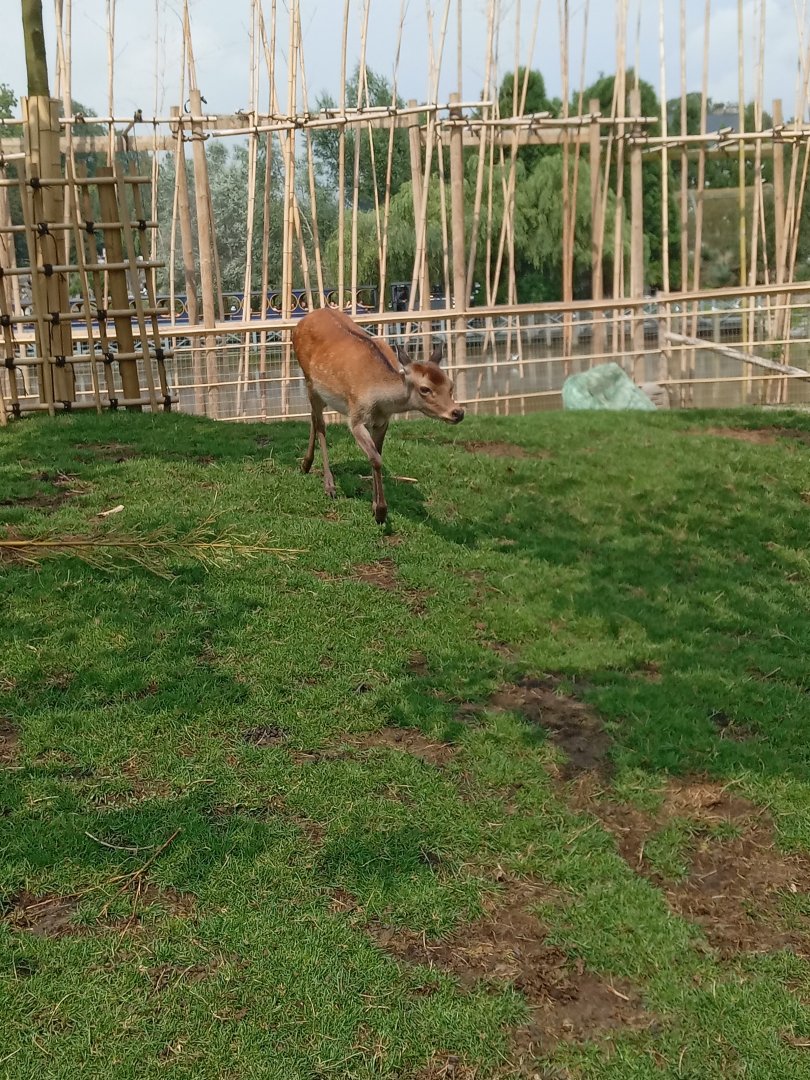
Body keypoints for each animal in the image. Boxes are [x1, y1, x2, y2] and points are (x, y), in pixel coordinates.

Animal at [292, 307, 465, 524]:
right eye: (425, 389)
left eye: (450, 384)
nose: (458, 412)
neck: (380, 401)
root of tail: (302, 321)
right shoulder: (356, 418)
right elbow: (375, 458)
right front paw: (381, 512)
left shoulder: (383, 422)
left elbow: (377, 454)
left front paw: (375, 506)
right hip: (309, 380)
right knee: (320, 424)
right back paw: (329, 485)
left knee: (314, 417)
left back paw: (305, 464)